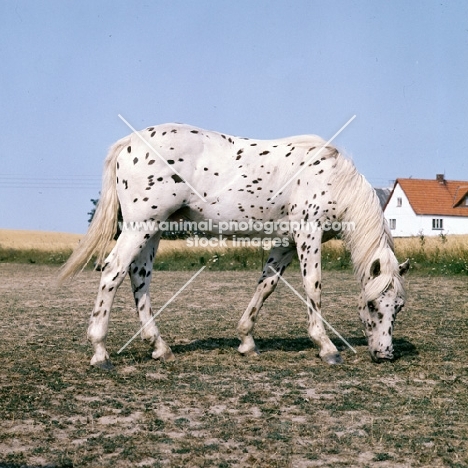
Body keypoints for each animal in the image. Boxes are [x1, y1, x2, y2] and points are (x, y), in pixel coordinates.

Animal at [58, 123, 410, 370]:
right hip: (140, 226)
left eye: (398, 307)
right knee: (113, 271)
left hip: (152, 229)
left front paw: (246, 339)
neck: (331, 178)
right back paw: (101, 352)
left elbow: (266, 285)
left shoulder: (285, 242)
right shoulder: (307, 235)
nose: (384, 354)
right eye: (372, 305)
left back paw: (159, 346)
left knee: (138, 276)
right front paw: (327, 348)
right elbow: (313, 287)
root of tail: (129, 144)